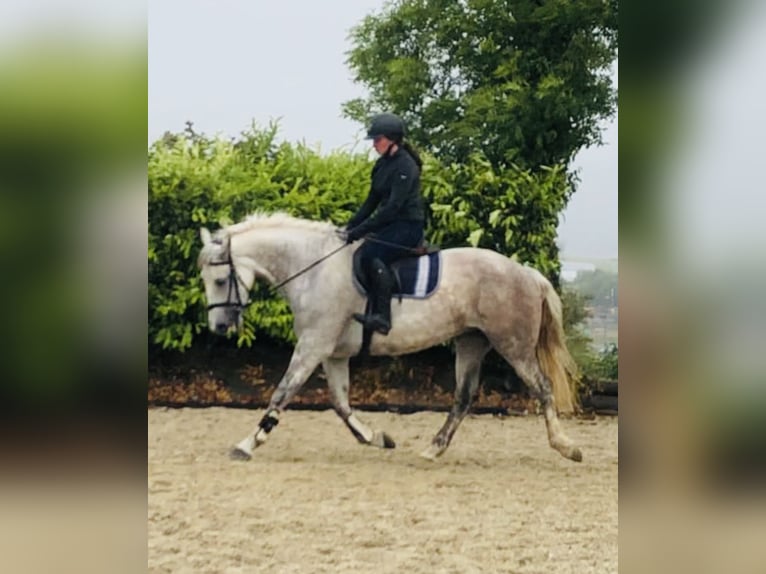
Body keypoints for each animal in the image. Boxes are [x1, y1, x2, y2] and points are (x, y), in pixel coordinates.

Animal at [198, 214, 584, 466]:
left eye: (219, 281)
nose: (219, 326)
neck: (314, 270)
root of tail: (528, 274)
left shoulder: (312, 346)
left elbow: (282, 393)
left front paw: (248, 443)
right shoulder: (332, 354)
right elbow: (340, 404)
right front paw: (377, 438)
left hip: (513, 345)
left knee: (542, 388)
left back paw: (567, 447)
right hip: (471, 342)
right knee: (463, 398)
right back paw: (433, 449)